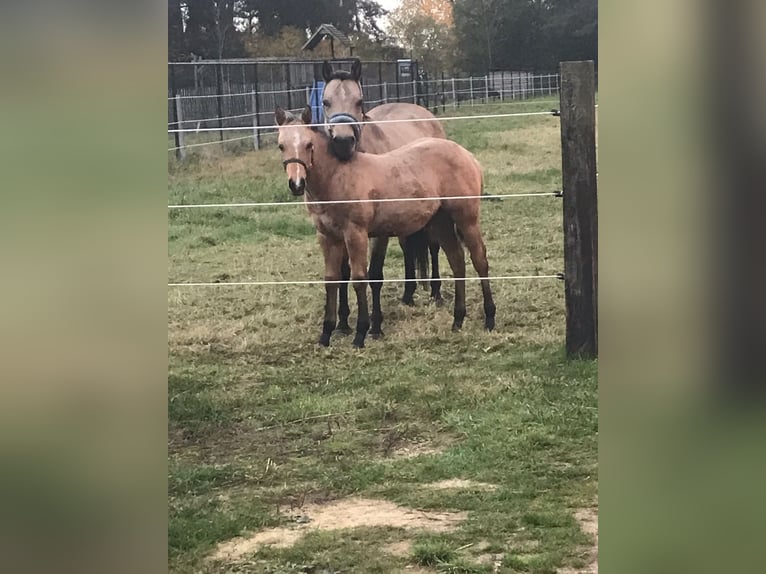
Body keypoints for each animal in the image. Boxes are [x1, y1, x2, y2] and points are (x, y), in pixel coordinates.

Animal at [275, 106, 496, 349]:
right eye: (281, 145)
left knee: (479, 260)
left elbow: (359, 279)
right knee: (457, 262)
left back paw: (489, 318)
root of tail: (466, 155)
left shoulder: (356, 233)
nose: (296, 184)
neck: (338, 178)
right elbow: (332, 280)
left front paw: (361, 334)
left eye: (308, 145)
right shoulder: (327, 237)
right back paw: (457, 320)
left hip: (467, 219)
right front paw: (326, 335)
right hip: (441, 223)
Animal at [321, 59, 446, 324]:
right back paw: (408, 294)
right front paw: (343, 321)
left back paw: (436, 293)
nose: (343, 142)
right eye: (326, 102)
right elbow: (344, 272)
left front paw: (375, 322)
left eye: (359, 101)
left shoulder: (377, 234)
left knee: (433, 246)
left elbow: (375, 273)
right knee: (408, 248)